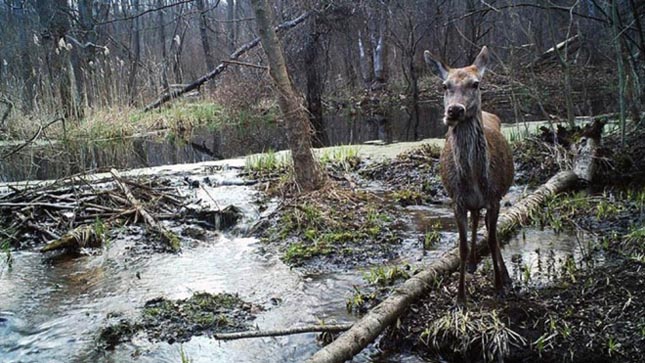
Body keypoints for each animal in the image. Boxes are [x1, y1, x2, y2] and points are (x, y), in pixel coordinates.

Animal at [422, 47, 512, 306]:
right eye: (444, 85)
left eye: (476, 83)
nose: (454, 110)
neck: (473, 180)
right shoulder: (457, 201)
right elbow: (460, 247)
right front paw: (460, 297)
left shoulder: (494, 197)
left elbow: (492, 239)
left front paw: (499, 286)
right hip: (472, 204)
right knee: (475, 220)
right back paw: (472, 263)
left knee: (489, 229)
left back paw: (506, 275)